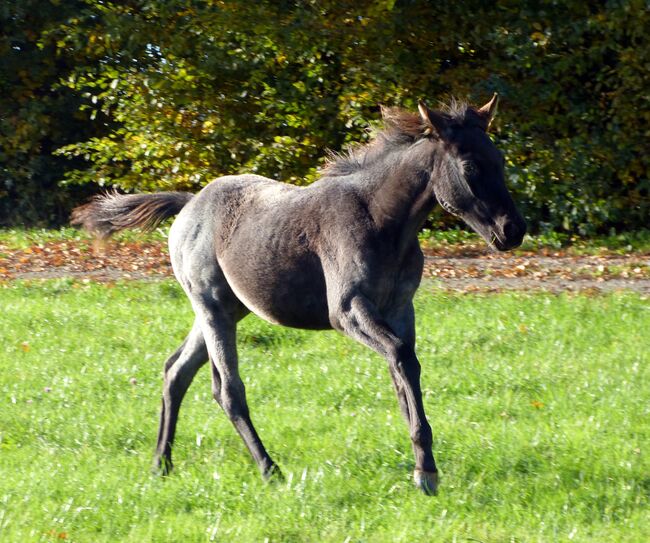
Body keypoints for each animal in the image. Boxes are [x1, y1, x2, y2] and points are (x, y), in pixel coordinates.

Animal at [72, 95, 528, 496]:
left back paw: (161, 465)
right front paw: (426, 472)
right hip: (211, 306)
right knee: (227, 391)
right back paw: (269, 470)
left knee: (176, 371)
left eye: (500, 161)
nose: (513, 230)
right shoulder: (348, 311)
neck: (381, 220)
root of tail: (188, 203)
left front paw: (424, 467)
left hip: (228, 310)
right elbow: (400, 357)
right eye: (470, 166)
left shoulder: (400, 309)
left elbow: (405, 373)